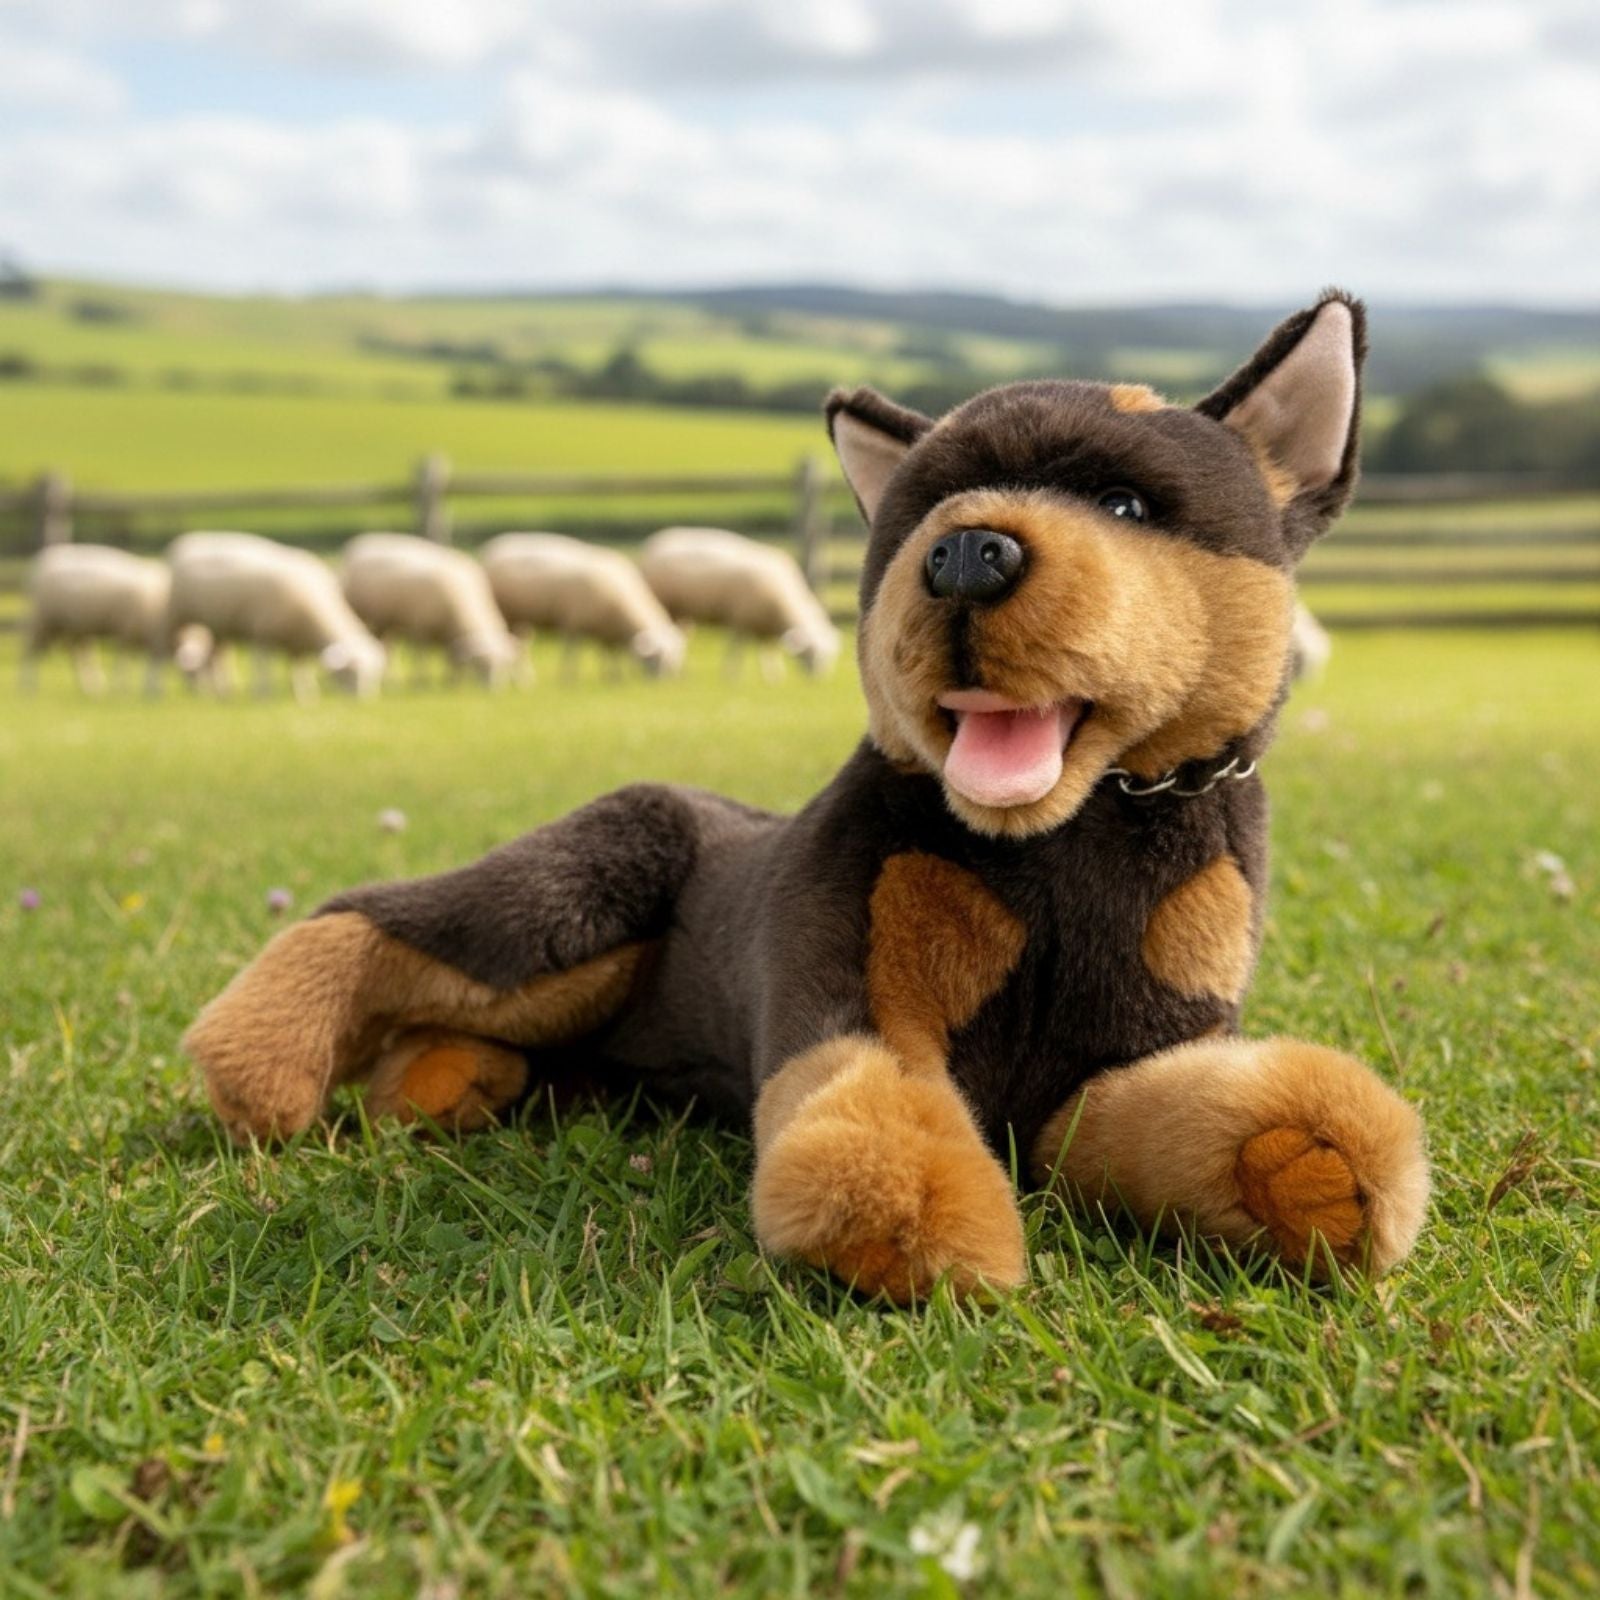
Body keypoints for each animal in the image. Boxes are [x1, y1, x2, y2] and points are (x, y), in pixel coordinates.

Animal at [22, 543, 194, 695]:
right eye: (194, 669)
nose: (194, 691)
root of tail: (48, 556)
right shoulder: (128, 631)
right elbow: (124, 660)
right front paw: (123, 688)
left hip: (74, 628)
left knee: (78, 656)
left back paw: (91, 687)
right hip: (43, 619)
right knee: (31, 652)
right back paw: (27, 685)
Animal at [165, 532, 386, 703]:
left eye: (373, 674)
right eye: (351, 671)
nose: (362, 700)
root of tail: (188, 539)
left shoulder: (297, 641)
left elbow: (299, 669)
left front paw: (304, 695)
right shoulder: (263, 632)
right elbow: (263, 666)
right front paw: (264, 693)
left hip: (219, 625)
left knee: (217, 656)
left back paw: (224, 690)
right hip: (180, 617)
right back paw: (206, 690)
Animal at [341, 533, 521, 689]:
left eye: (504, 665)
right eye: (480, 666)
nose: (493, 689)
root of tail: (363, 540)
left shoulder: (449, 634)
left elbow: (453, 658)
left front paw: (452, 681)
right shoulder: (422, 629)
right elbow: (422, 657)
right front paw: (421, 681)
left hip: (387, 623)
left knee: (387, 648)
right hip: (373, 619)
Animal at [480, 533, 686, 681]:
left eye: (676, 656)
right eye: (655, 658)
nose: (666, 680)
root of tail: (496, 545)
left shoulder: (607, 629)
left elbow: (610, 654)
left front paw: (613, 676)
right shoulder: (575, 623)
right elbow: (571, 653)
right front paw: (568, 678)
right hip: (508, 614)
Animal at [639, 527, 840, 680]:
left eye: (828, 654)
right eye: (809, 652)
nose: (818, 677)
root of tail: (658, 539)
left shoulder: (766, 624)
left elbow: (769, 650)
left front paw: (773, 675)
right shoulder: (740, 618)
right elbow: (737, 647)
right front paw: (732, 674)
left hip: (682, 611)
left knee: (679, 637)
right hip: (666, 603)